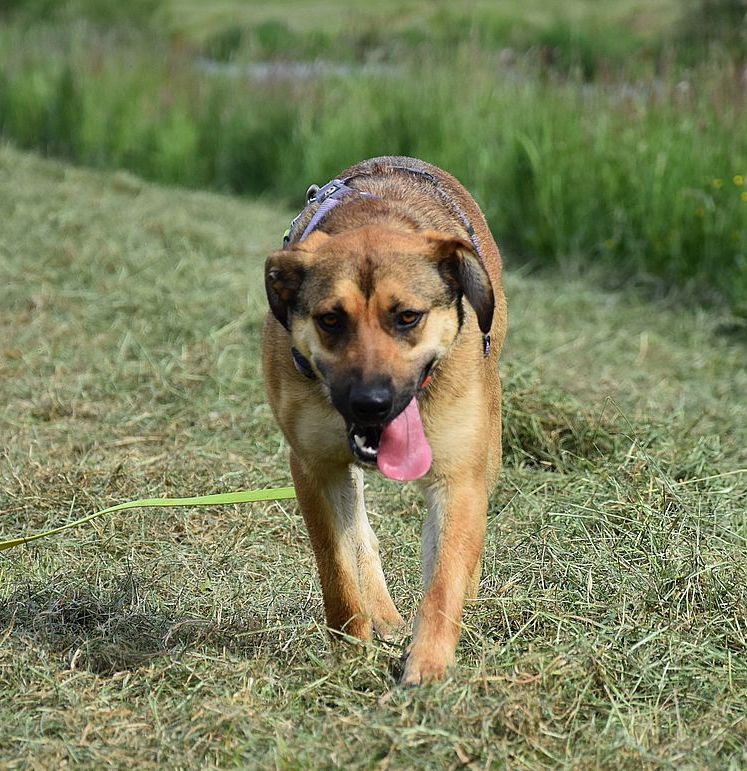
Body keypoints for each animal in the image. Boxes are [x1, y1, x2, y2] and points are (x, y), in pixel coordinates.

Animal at [262, 156, 507, 685]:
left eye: (408, 317)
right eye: (331, 319)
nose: (371, 403)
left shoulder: (458, 478)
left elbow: (443, 580)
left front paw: (428, 667)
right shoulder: (314, 468)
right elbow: (338, 565)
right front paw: (352, 651)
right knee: (360, 537)